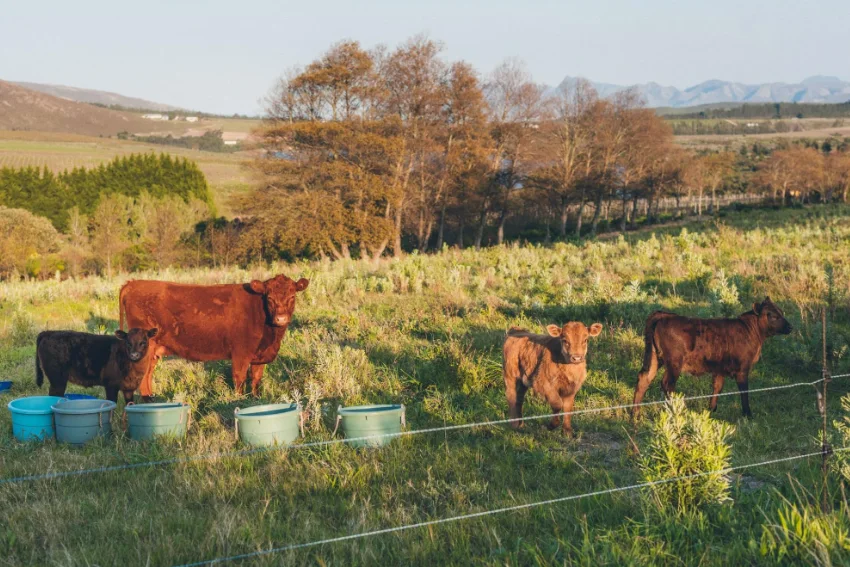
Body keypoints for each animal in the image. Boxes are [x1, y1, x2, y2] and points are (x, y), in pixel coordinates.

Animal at [119, 274, 309, 400]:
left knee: (147, 377)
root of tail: (133, 283)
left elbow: (255, 380)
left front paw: (255, 399)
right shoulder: (240, 354)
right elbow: (239, 380)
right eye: (269, 298)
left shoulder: (259, 357)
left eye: (292, 296)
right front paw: (238, 401)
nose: (281, 318)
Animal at [632, 297, 793, 420]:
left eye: (781, 312)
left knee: (644, 378)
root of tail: (665, 315)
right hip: (674, 362)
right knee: (667, 384)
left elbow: (717, 387)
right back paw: (674, 411)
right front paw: (748, 415)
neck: (751, 331)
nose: (790, 327)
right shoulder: (742, 368)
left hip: (655, 357)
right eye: (773, 315)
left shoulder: (720, 368)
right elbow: (744, 391)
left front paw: (711, 410)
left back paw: (635, 414)